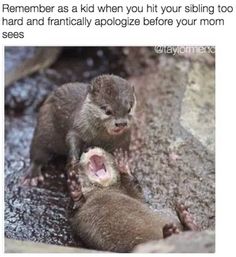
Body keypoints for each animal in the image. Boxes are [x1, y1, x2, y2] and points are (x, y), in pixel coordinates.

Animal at [68, 147, 199, 251]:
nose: (88, 148)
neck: (103, 192)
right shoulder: (77, 216)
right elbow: (74, 210)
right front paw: (75, 189)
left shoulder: (134, 195)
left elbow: (137, 190)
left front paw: (123, 165)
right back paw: (174, 230)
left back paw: (186, 220)